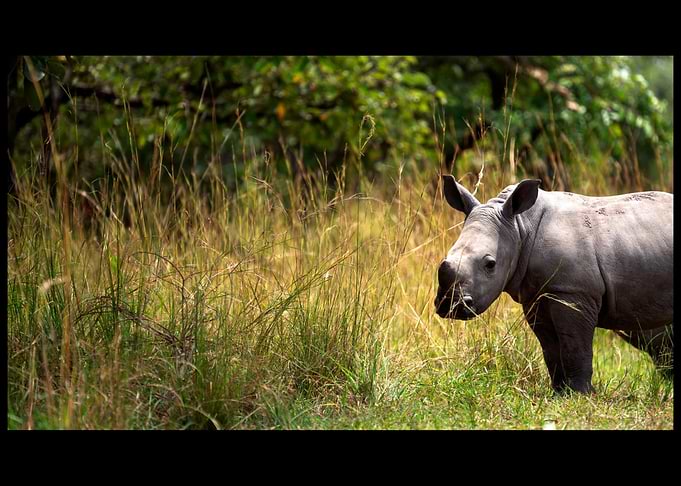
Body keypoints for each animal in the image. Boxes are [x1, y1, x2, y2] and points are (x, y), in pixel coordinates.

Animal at [435, 175, 673, 394]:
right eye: (444, 260)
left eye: (490, 264)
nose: (450, 305)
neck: (520, 227)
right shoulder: (536, 295)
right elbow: (550, 348)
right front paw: (558, 392)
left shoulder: (573, 293)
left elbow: (575, 346)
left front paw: (580, 394)